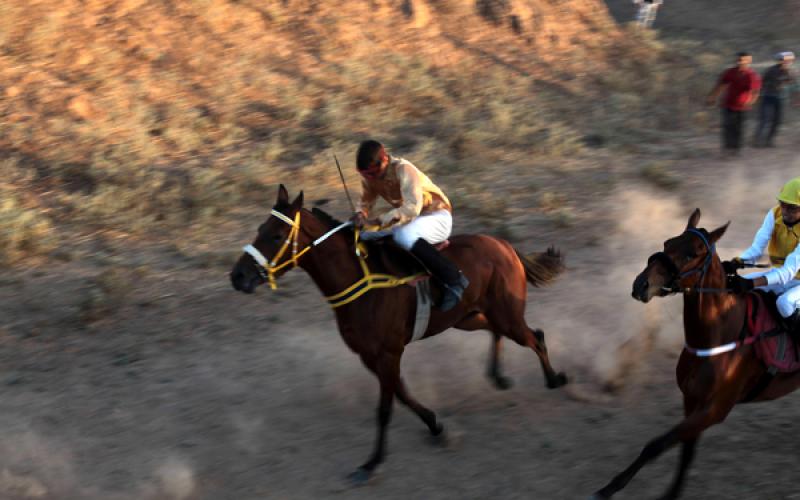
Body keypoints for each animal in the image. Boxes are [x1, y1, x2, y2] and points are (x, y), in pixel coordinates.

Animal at [230, 186, 568, 482]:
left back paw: (555, 379)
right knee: (498, 332)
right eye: (259, 228)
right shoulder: (370, 354)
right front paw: (435, 425)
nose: (238, 276)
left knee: (535, 337)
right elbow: (402, 395)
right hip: (468, 316)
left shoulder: (388, 352)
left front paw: (371, 463)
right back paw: (498, 376)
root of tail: (504, 245)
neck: (359, 280)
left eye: (276, 235)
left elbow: (385, 408)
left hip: (506, 315)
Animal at [592, 208, 800, 500]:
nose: (641, 284)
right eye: (667, 243)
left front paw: (609, 488)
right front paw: (671, 493)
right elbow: (686, 451)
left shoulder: (714, 410)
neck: (719, 337)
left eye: (692, 254)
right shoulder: (691, 400)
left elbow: (656, 445)